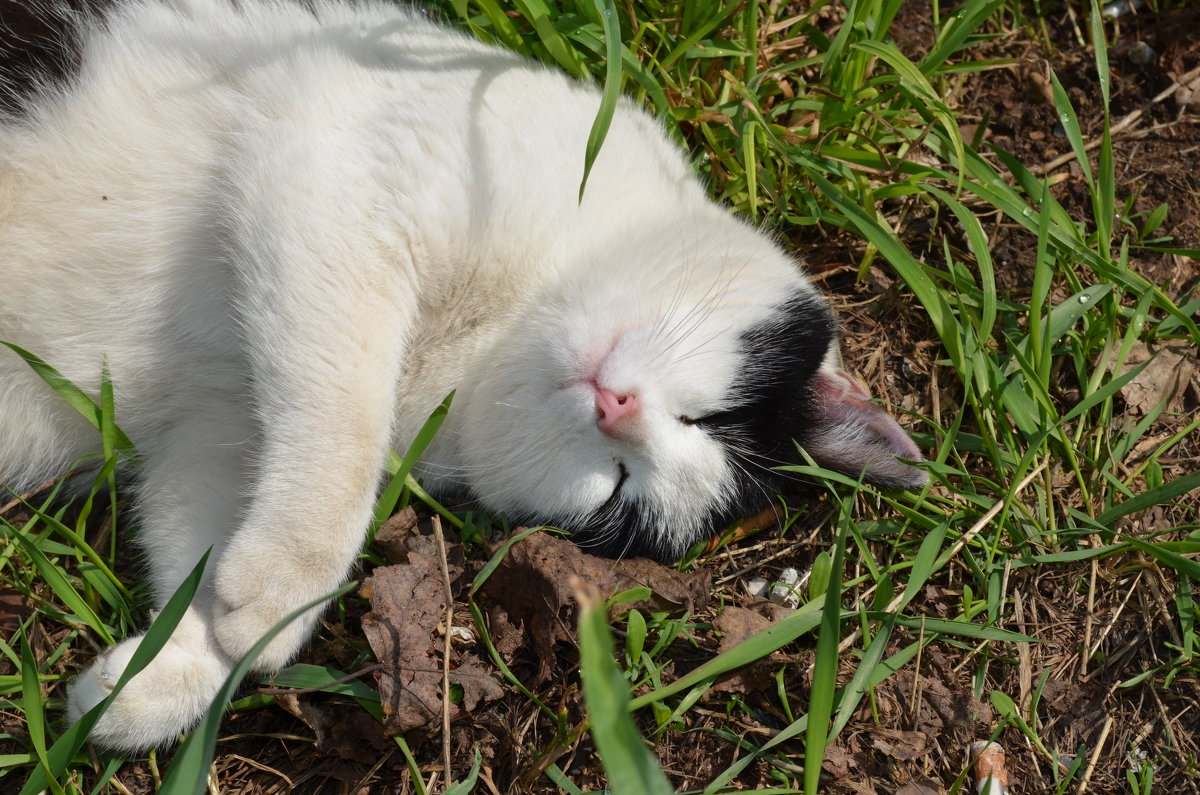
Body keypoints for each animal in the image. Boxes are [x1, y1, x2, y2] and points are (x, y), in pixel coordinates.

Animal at [0, 0, 926, 754]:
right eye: (711, 415)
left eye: (619, 491)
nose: (617, 408)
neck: (489, 334)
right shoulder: (337, 163)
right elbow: (348, 424)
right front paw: (284, 583)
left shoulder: (212, 429)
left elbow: (201, 538)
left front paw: (170, 673)